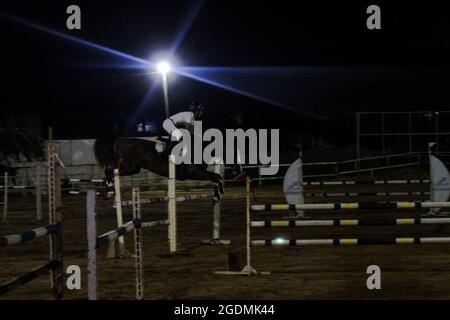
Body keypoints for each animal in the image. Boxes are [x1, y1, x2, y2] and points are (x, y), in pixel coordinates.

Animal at [93, 137, 225, 200]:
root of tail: (118, 142)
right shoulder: (193, 173)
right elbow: (215, 176)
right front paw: (218, 194)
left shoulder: (200, 172)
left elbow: (217, 177)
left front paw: (219, 194)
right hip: (128, 167)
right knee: (109, 170)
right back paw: (109, 191)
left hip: (133, 168)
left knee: (110, 173)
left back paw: (105, 192)